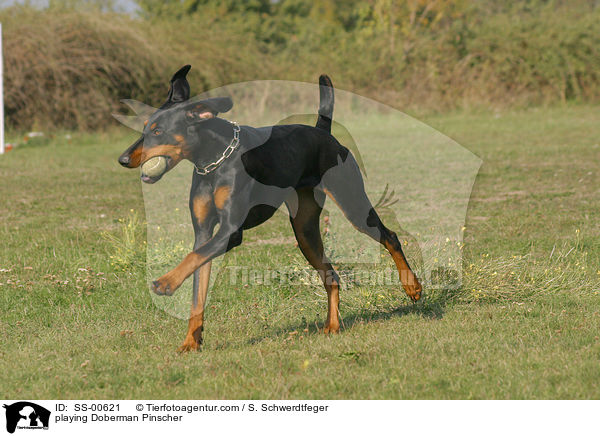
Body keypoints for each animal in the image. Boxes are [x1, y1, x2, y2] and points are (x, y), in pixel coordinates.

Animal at [118, 64, 422, 350]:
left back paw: (412, 286)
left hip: (352, 203)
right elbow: (197, 286)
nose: (122, 159)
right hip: (305, 232)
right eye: (145, 128)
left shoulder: (231, 231)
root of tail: (323, 132)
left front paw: (164, 283)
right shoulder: (204, 232)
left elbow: (193, 258)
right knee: (332, 276)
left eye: (158, 131)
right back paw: (333, 326)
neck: (214, 161)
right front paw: (191, 342)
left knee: (390, 236)